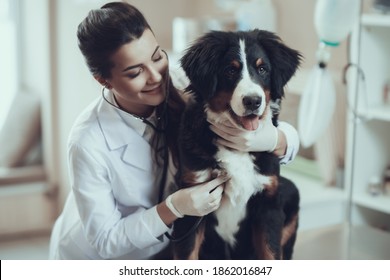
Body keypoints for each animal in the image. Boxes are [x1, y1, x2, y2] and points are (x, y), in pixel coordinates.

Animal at [172, 29, 304, 260]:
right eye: (230, 70)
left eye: (262, 69)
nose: (253, 101)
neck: (237, 148)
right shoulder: (192, 201)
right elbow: (187, 253)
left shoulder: (268, 203)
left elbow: (271, 252)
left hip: (289, 191)